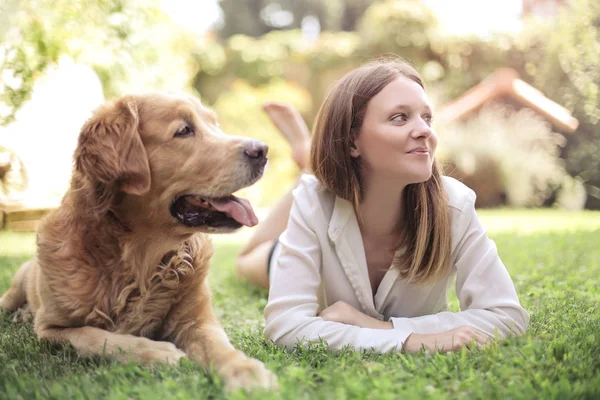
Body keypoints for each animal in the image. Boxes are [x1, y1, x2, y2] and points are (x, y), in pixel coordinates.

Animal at [0, 93, 278, 390]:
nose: (263, 150)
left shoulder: (197, 319)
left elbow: (220, 346)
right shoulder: (50, 329)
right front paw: (157, 351)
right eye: (184, 130)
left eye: (215, 125)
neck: (138, 262)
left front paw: (246, 371)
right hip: (16, 289)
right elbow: (94, 337)